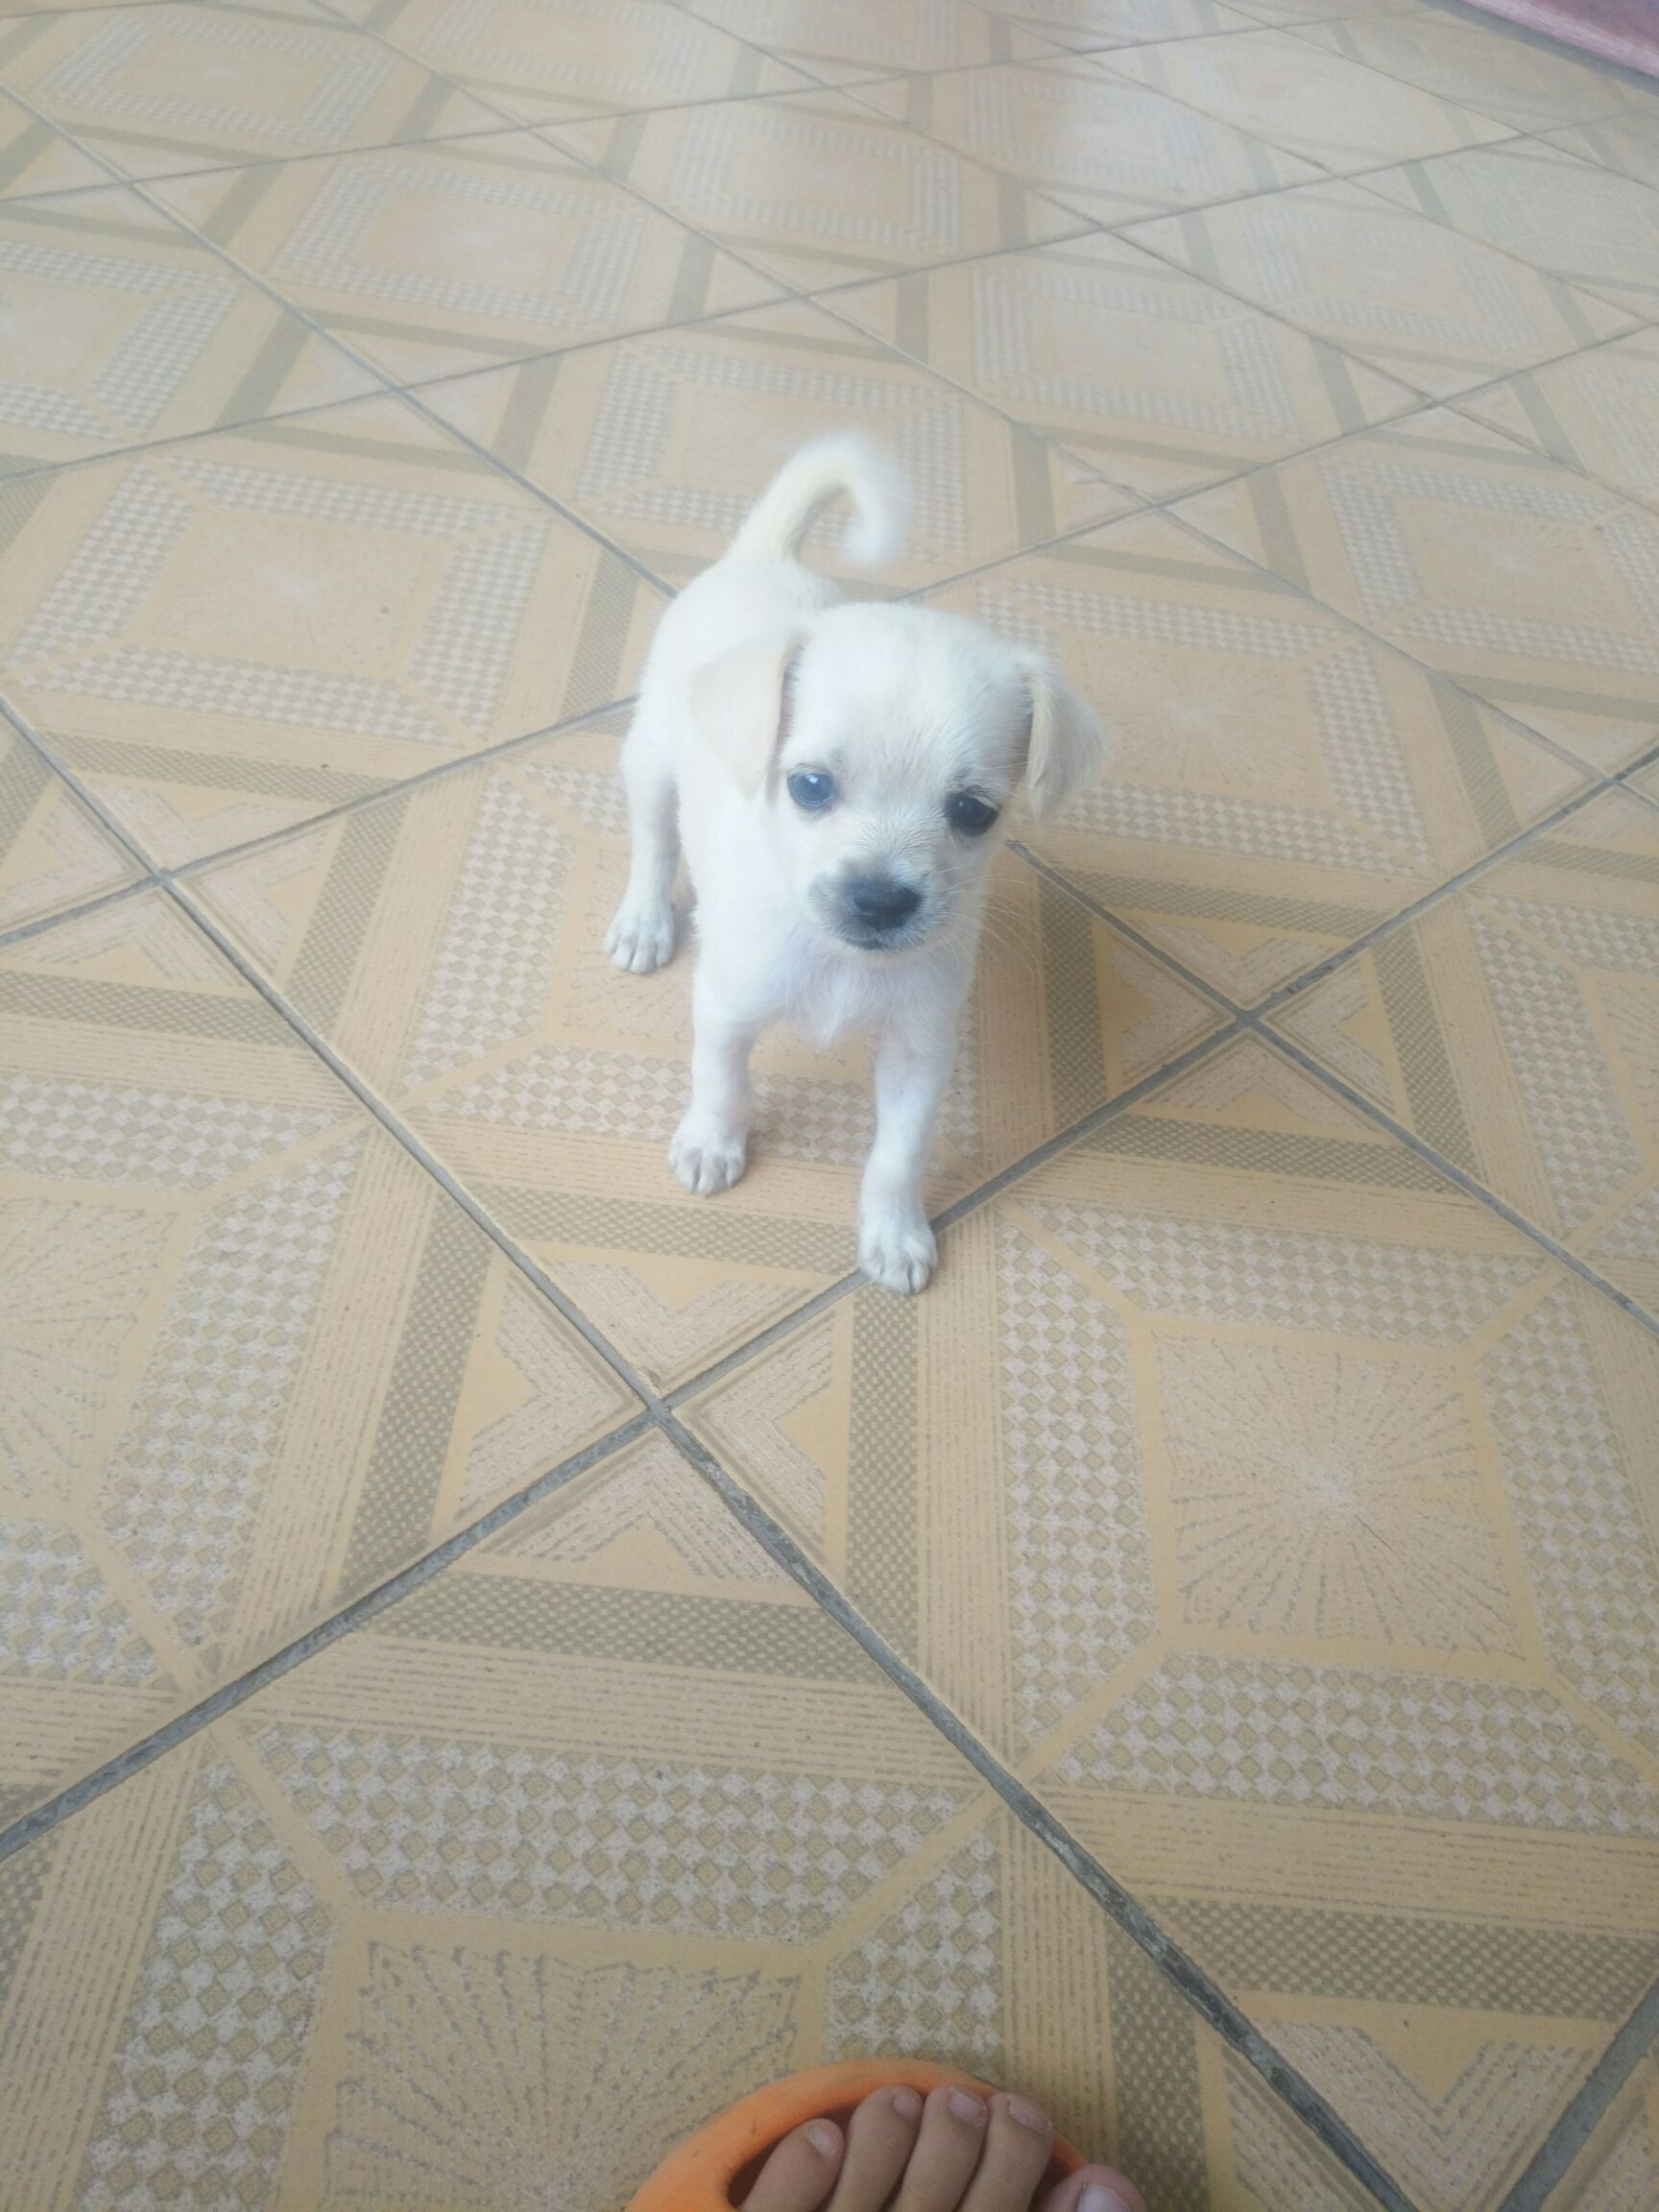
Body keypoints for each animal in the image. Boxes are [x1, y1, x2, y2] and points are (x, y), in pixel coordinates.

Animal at [605, 433, 1107, 1295]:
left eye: (973, 812)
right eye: (809, 786)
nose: (879, 901)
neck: (842, 964)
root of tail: (760, 557)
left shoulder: (920, 1049)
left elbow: (898, 1156)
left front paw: (895, 1234)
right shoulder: (728, 1005)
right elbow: (721, 1080)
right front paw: (712, 1142)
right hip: (651, 761)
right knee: (655, 838)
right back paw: (644, 922)